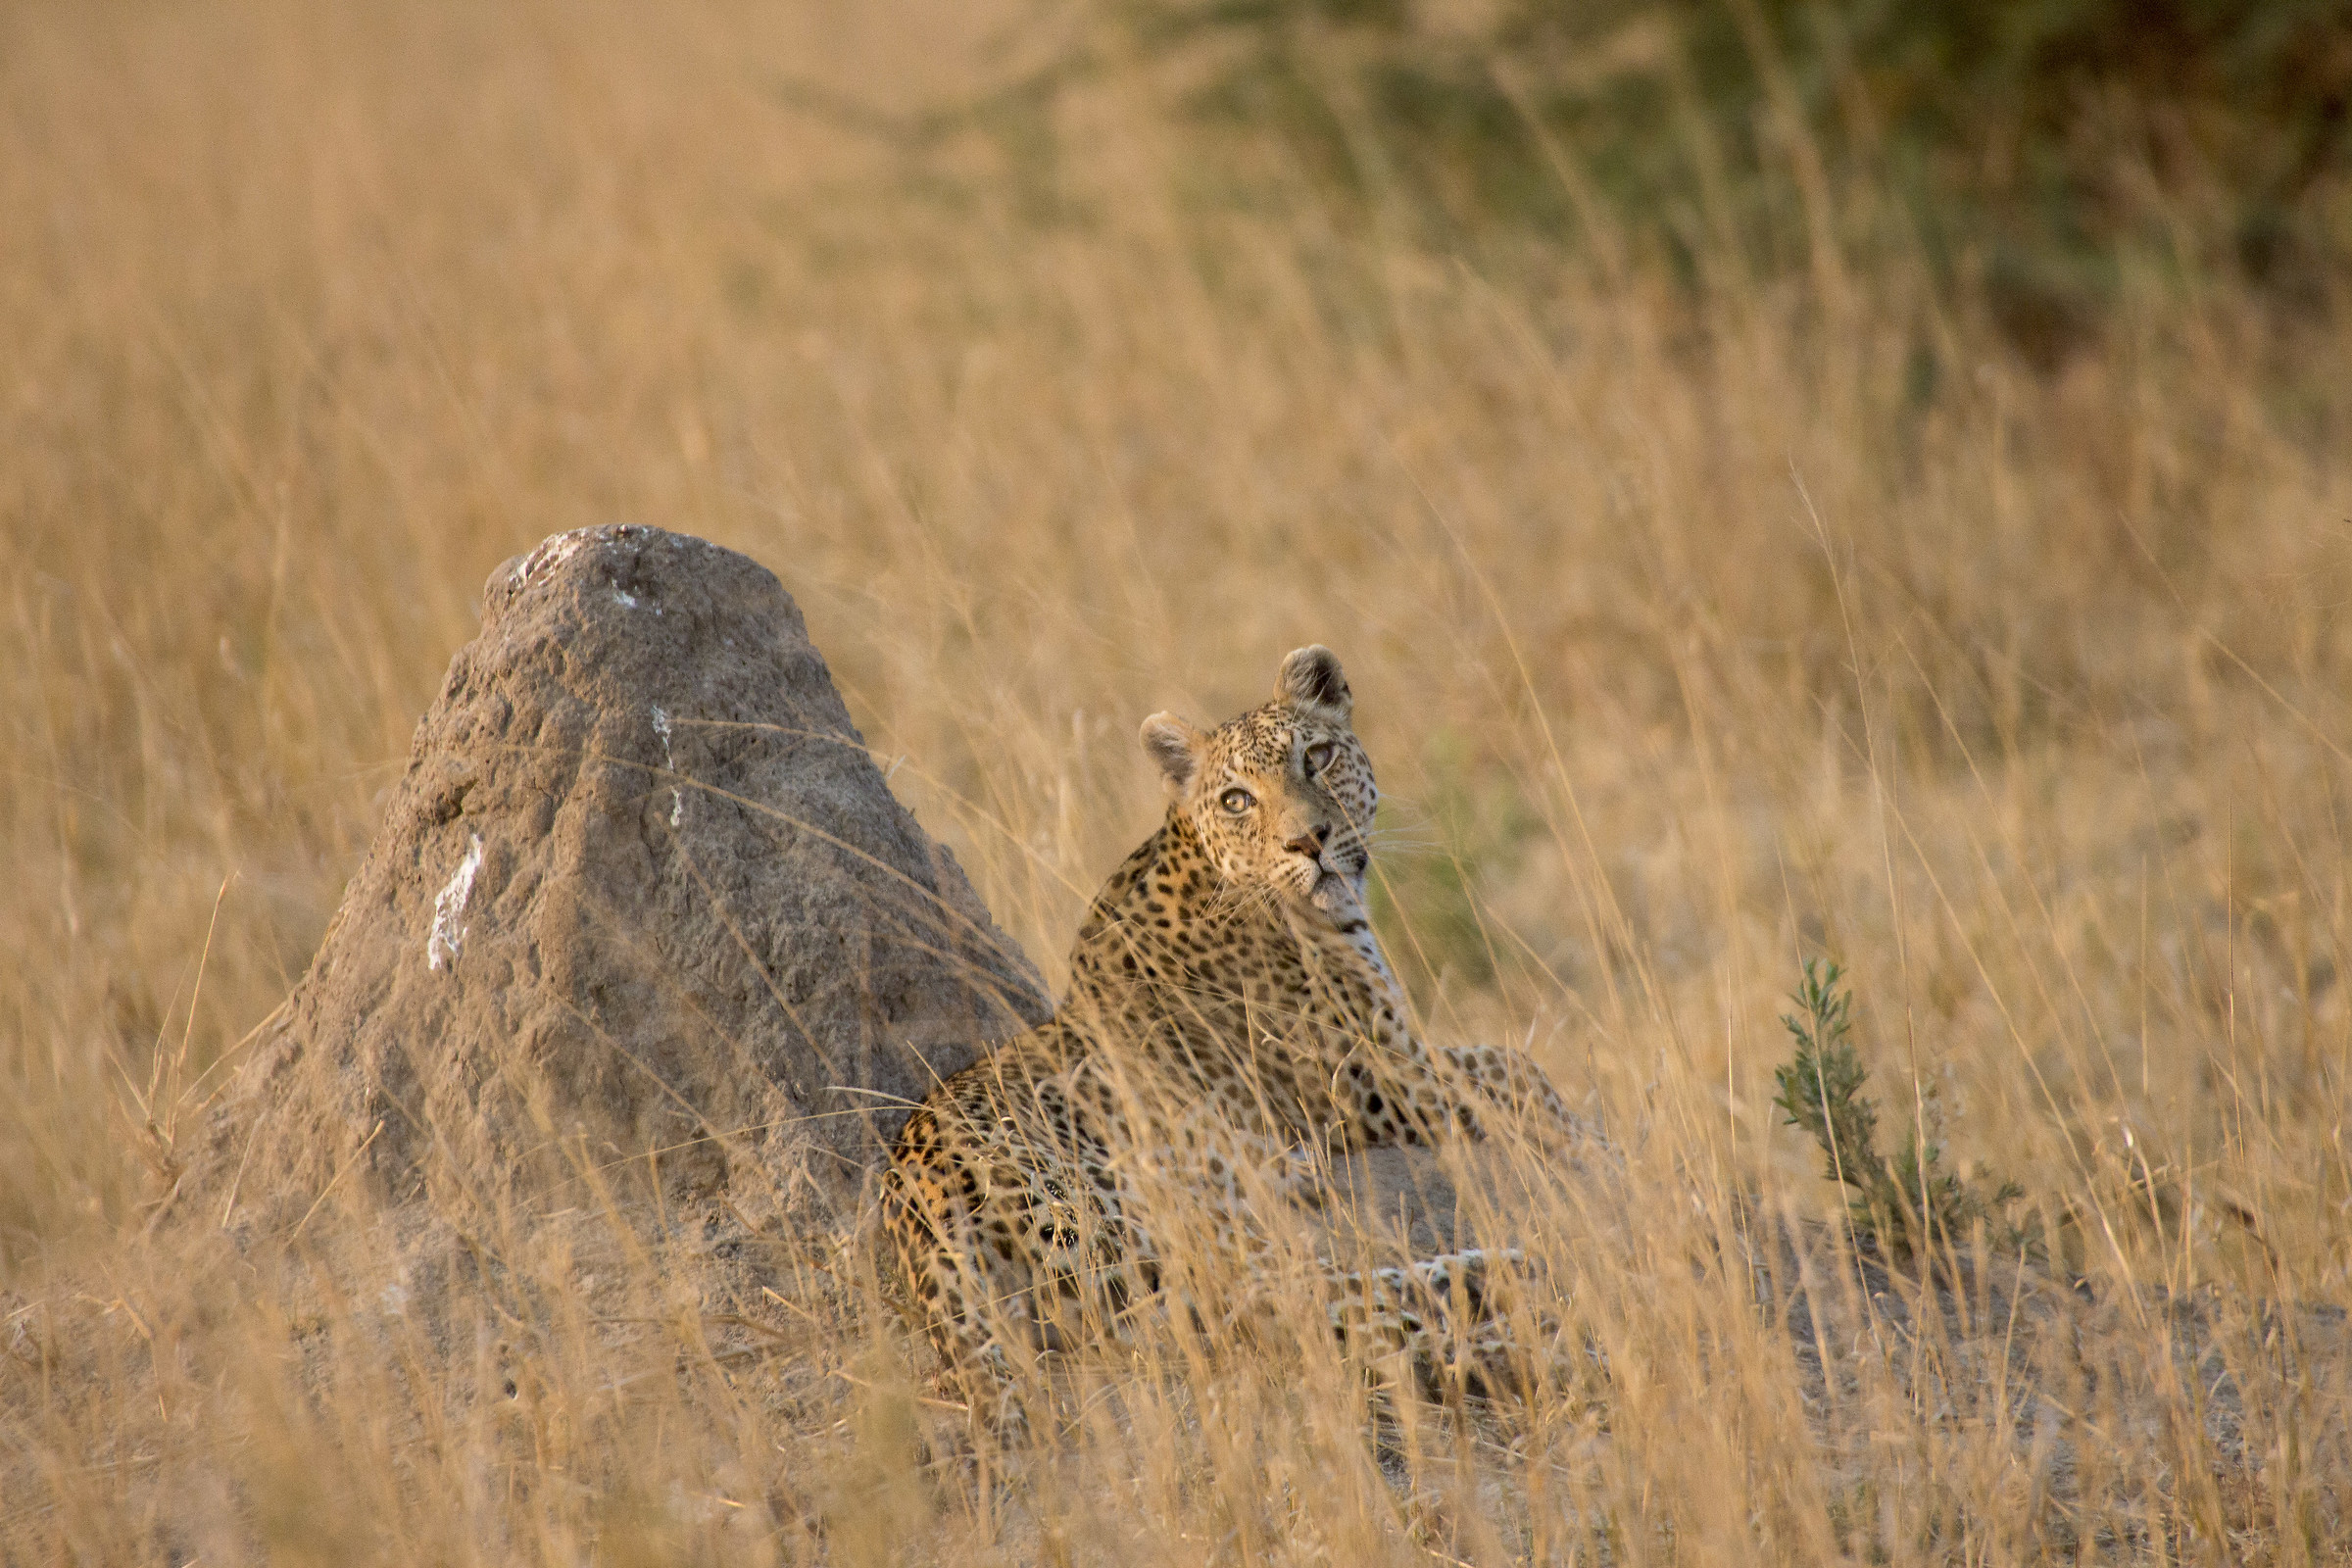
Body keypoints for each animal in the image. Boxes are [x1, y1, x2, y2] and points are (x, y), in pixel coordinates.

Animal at [881, 645, 1589, 1428]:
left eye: (1318, 756)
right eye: (1237, 800)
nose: (1308, 841)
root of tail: (918, 1209)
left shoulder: (1393, 1062)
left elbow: (1515, 1068)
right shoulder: (1374, 1075)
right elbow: (1515, 1071)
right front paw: (1594, 1144)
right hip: (1175, 1220)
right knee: (1301, 1309)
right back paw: (1516, 1297)